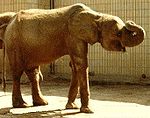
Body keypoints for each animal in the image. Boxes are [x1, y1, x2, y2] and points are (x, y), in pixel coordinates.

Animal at [2, 3, 145, 113]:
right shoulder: (73, 35)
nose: (130, 21)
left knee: (33, 73)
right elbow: (81, 64)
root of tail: (10, 21)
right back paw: (22, 105)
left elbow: (75, 66)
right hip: (14, 43)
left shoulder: (77, 38)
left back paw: (41, 103)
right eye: (118, 33)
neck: (96, 16)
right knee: (17, 73)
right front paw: (87, 111)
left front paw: (72, 107)